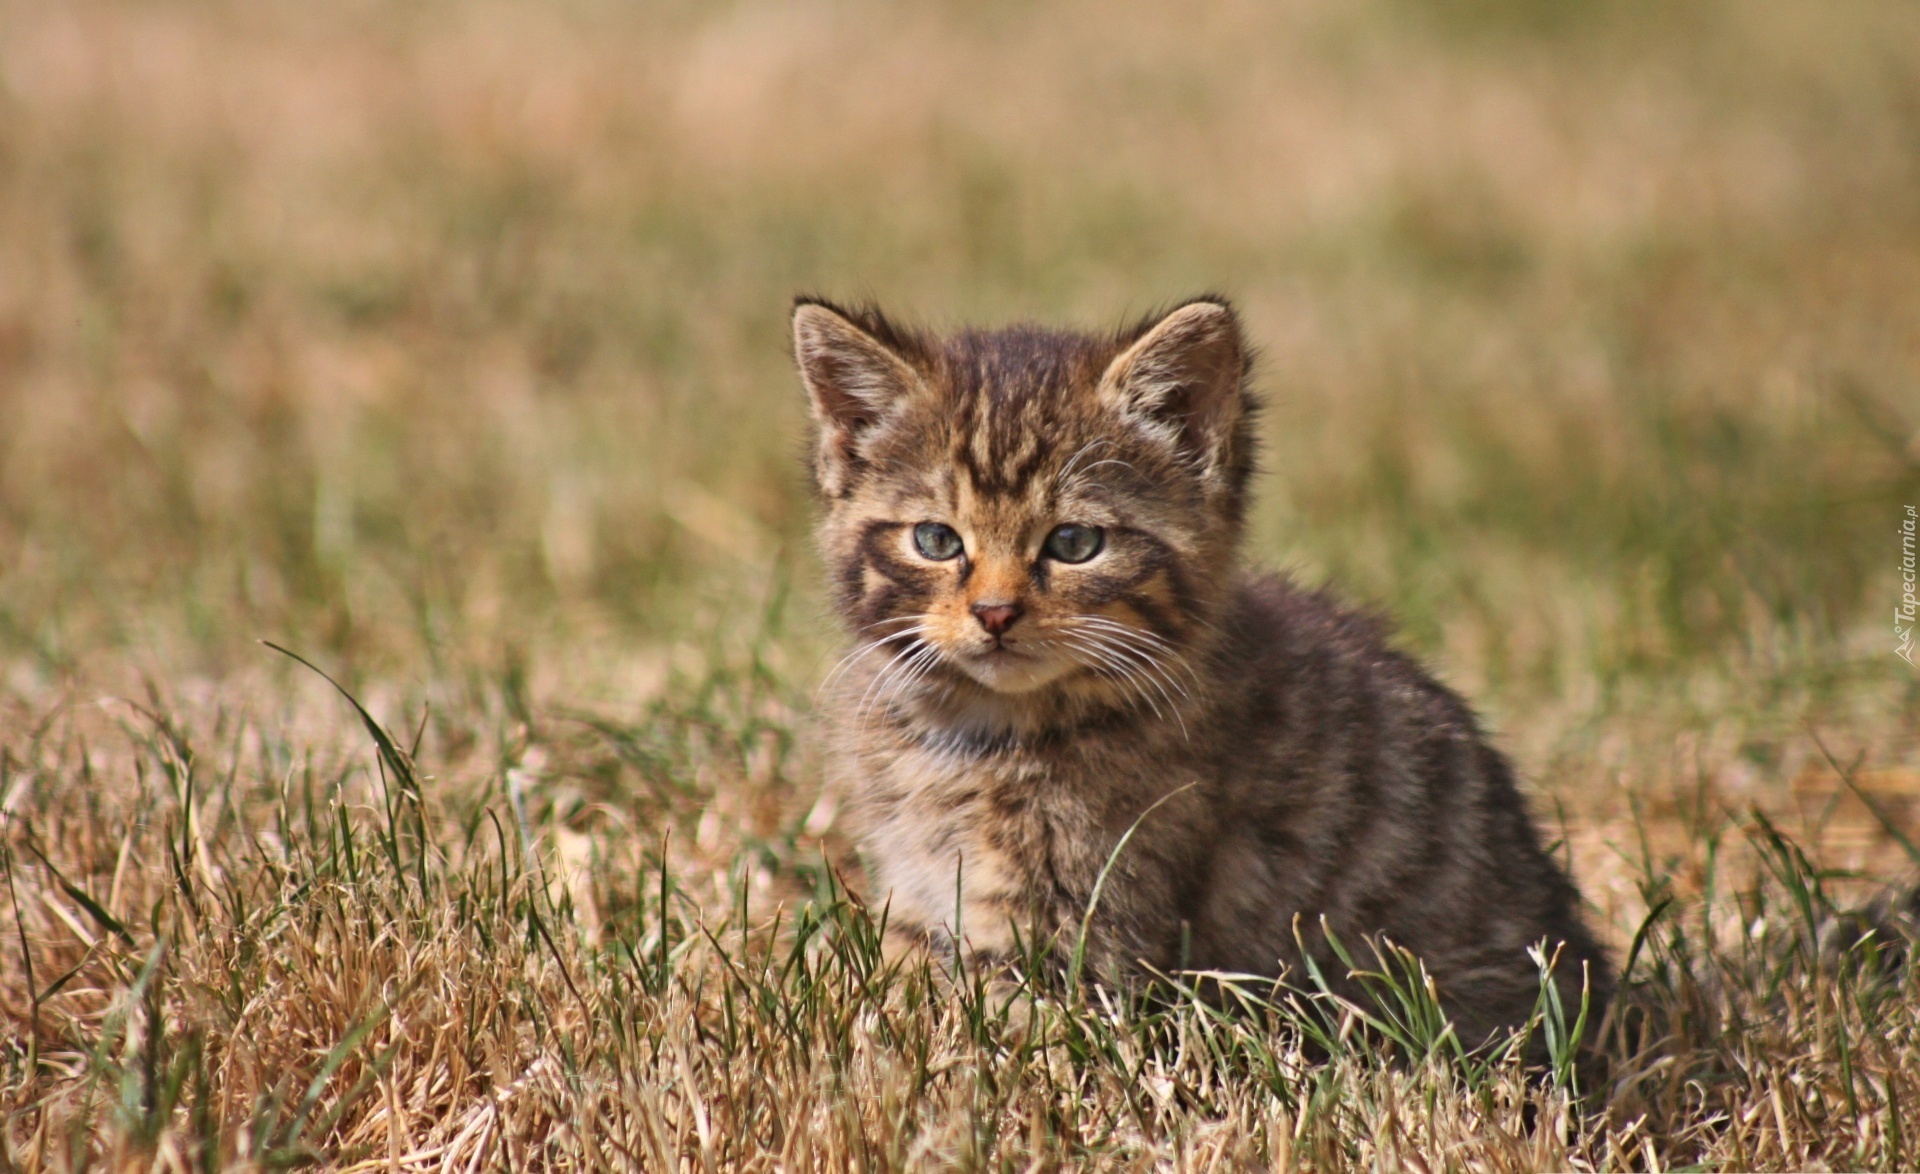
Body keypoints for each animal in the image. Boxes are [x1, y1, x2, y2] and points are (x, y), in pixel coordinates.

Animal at [787, 293, 1612, 1045]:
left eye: (1075, 543)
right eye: (936, 539)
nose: (994, 613)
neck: (981, 734)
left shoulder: (1089, 921)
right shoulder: (923, 891)